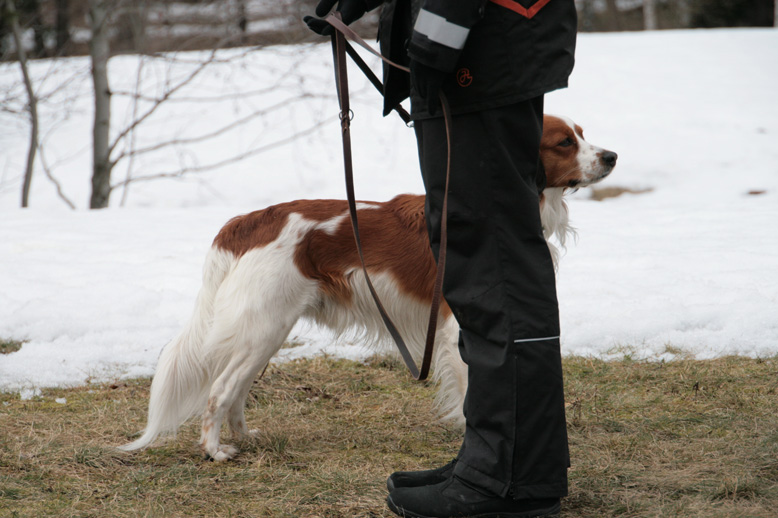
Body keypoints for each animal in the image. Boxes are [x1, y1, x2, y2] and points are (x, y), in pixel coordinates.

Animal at [119, 115, 617, 461]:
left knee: (235, 390)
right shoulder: (457, 327)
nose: (612, 156)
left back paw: (247, 437)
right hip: (262, 328)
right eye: (565, 142)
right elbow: (471, 392)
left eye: (582, 134)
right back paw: (214, 451)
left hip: (269, 331)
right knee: (220, 390)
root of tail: (250, 220)